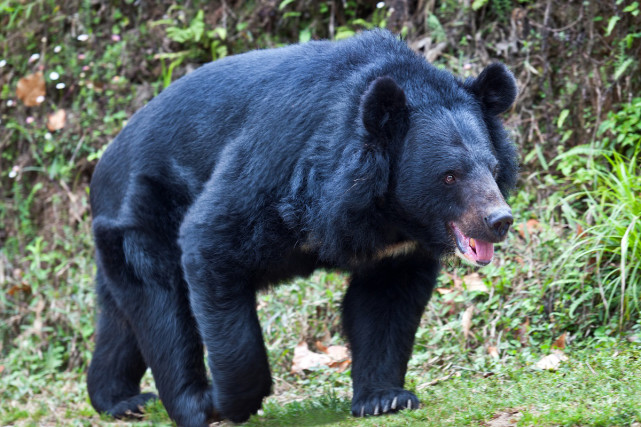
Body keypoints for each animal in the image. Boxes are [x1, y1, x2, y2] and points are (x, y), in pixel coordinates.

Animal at [87, 30, 516, 427]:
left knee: (122, 316)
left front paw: (384, 398)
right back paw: (193, 405)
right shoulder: (279, 167)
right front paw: (229, 402)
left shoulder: (398, 250)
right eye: (449, 176)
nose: (499, 221)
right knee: (163, 309)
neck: (390, 213)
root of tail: (103, 164)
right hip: (143, 215)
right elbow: (211, 240)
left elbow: (386, 303)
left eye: (493, 168)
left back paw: (120, 400)